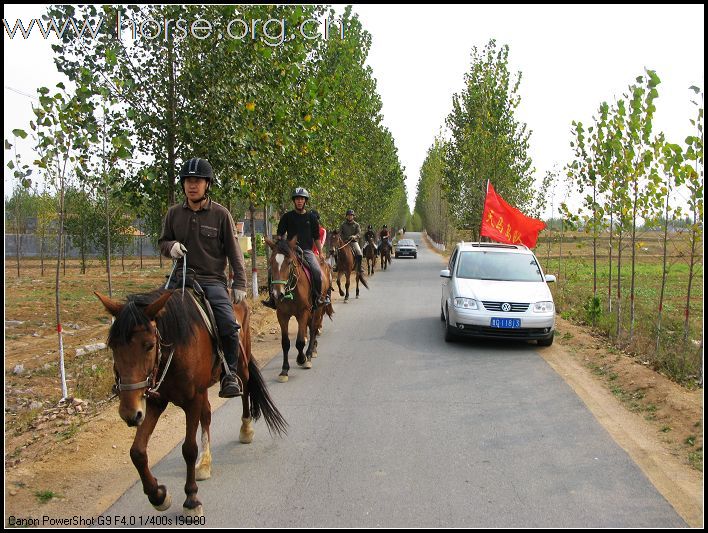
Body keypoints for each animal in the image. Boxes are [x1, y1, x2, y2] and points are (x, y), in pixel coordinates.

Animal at [95, 286, 286, 516]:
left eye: (149, 345)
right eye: (113, 346)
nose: (129, 413)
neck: (176, 346)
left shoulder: (192, 400)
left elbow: (188, 449)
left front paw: (191, 499)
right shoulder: (157, 402)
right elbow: (137, 452)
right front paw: (158, 495)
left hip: (241, 364)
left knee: (245, 389)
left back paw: (246, 430)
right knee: (207, 415)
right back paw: (204, 463)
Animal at [264, 235, 334, 380]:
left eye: (290, 262)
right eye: (271, 262)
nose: (278, 293)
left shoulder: (303, 312)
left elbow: (300, 341)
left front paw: (302, 359)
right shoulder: (282, 315)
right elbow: (285, 343)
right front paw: (284, 370)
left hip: (318, 308)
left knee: (313, 328)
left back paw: (310, 354)